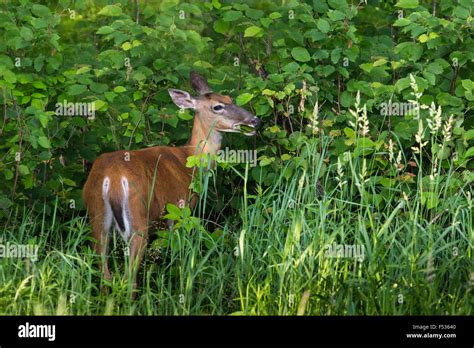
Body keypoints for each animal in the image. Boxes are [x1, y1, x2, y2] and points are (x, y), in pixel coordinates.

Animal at [81, 72, 260, 294]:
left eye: (230, 99)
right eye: (218, 106)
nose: (255, 120)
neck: (189, 159)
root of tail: (112, 179)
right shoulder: (180, 210)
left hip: (96, 216)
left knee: (104, 274)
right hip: (138, 218)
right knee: (129, 278)